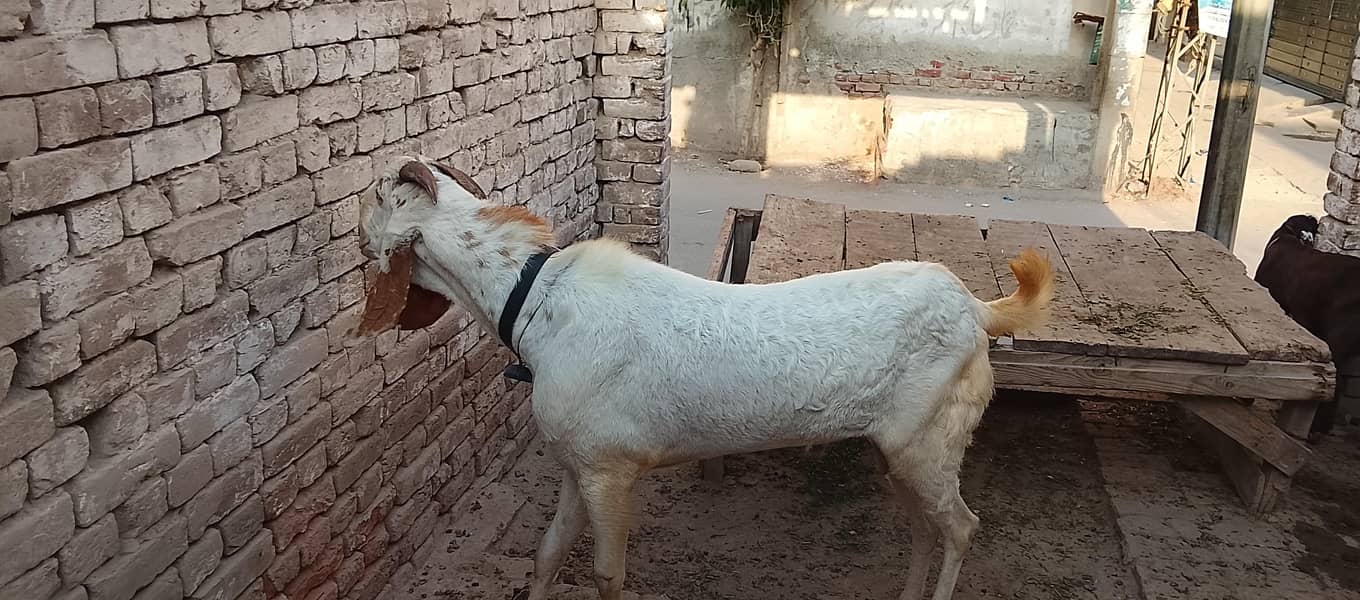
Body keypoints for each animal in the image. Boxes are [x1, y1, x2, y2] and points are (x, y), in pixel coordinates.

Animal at [356, 157, 1056, 600]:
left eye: (377, 200)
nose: (356, 240)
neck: (534, 299)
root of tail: (976, 308)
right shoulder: (576, 463)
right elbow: (549, 552)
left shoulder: (611, 469)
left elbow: (607, 575)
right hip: (897, 449)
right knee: (922, 526)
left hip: (931, 439)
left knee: (960, 527)